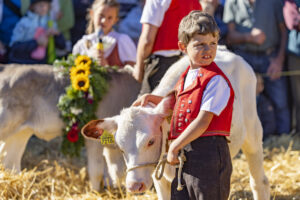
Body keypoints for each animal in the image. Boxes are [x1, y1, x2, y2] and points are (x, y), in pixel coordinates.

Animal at [0, 65, 141, 190]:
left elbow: (114, 171)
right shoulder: (94, 141)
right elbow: (97, 171)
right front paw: (96, 192)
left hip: (21, 132)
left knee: (10, 160)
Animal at [83, 47, 270, 200]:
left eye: (150, 141)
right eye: (121, 148)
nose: (134, 186)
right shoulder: (158, 178)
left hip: (253, 132)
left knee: (259, 181)